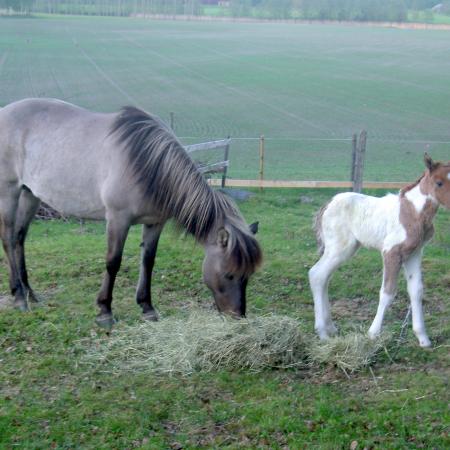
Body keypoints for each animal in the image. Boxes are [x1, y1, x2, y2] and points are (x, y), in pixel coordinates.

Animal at [310, 155, 450, 348]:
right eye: (439, 182)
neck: (413, 212)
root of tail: (327, 204)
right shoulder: (391, 252)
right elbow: (387, 292)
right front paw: (373, 333)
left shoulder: (415, 253)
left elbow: (416, 291)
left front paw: (423, 339)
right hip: (339, 248)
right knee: (317, 275)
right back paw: (323, 333)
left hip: (343, 249)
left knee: (324, 278)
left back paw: (330, 328)